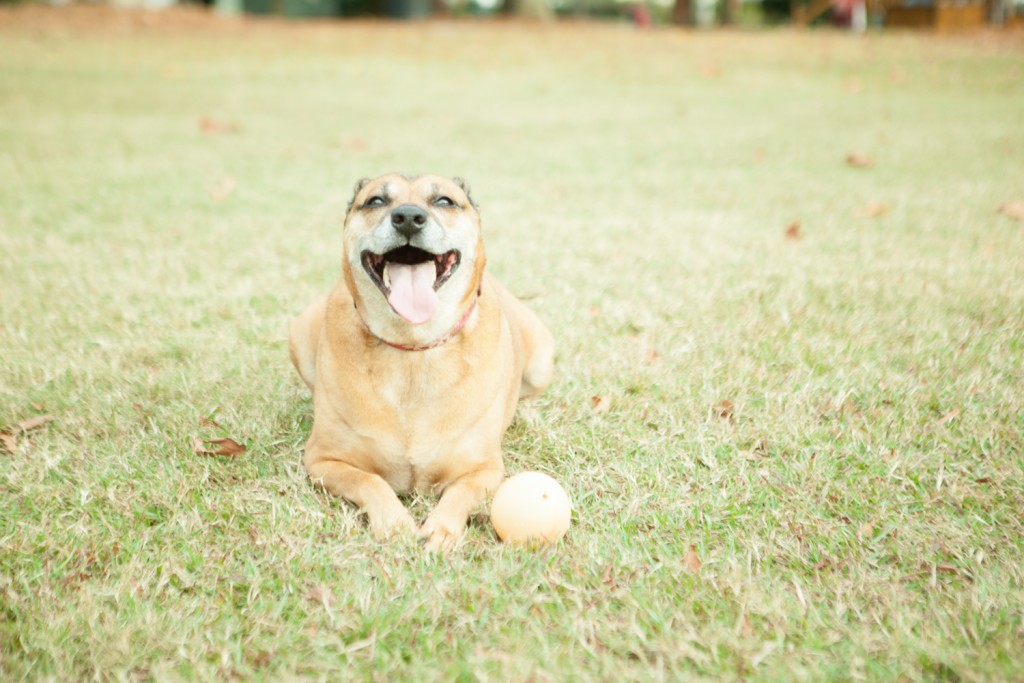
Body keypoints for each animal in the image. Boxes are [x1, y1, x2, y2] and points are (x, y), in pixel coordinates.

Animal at [289, 173, 554, 551]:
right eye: (376, 201)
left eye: (444, 201)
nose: (409, 218)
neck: (413, 346)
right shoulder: (323, 461)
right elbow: (369, 480)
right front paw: (394, 522)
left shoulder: (485, 470)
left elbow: (461, 491)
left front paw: (442, 528)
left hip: (542, 359)